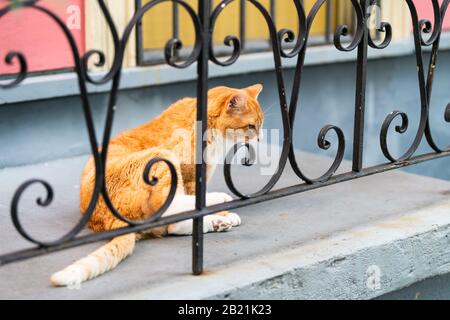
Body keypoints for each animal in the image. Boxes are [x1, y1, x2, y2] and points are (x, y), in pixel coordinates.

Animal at [50, 84, 264, 286]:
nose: (261, 138)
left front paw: (221, 215)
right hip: (162, 158)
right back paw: (219, 201)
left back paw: (217, 222)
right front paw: (221, 209)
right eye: (251, 126)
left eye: (260, 125)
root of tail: (104, 218)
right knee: (170, 209)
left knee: (172, 225)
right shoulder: (188, 177)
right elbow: (194, 204)